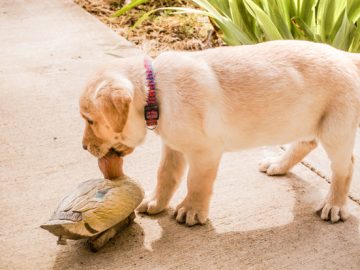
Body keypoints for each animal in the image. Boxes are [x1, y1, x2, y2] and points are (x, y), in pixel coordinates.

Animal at [80, 39, 360, 226]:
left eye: (90, 120)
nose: (84, 147)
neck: (155, 91)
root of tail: (347, 56)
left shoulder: (205, 152)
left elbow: (196, 181)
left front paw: (191, 210)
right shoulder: (173, 145)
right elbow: (165, 175)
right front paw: (157, 202)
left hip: (335, 130)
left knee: (344, 166)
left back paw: (334, 205)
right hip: (303, 120)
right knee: (306, 143)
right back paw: (279, 164)